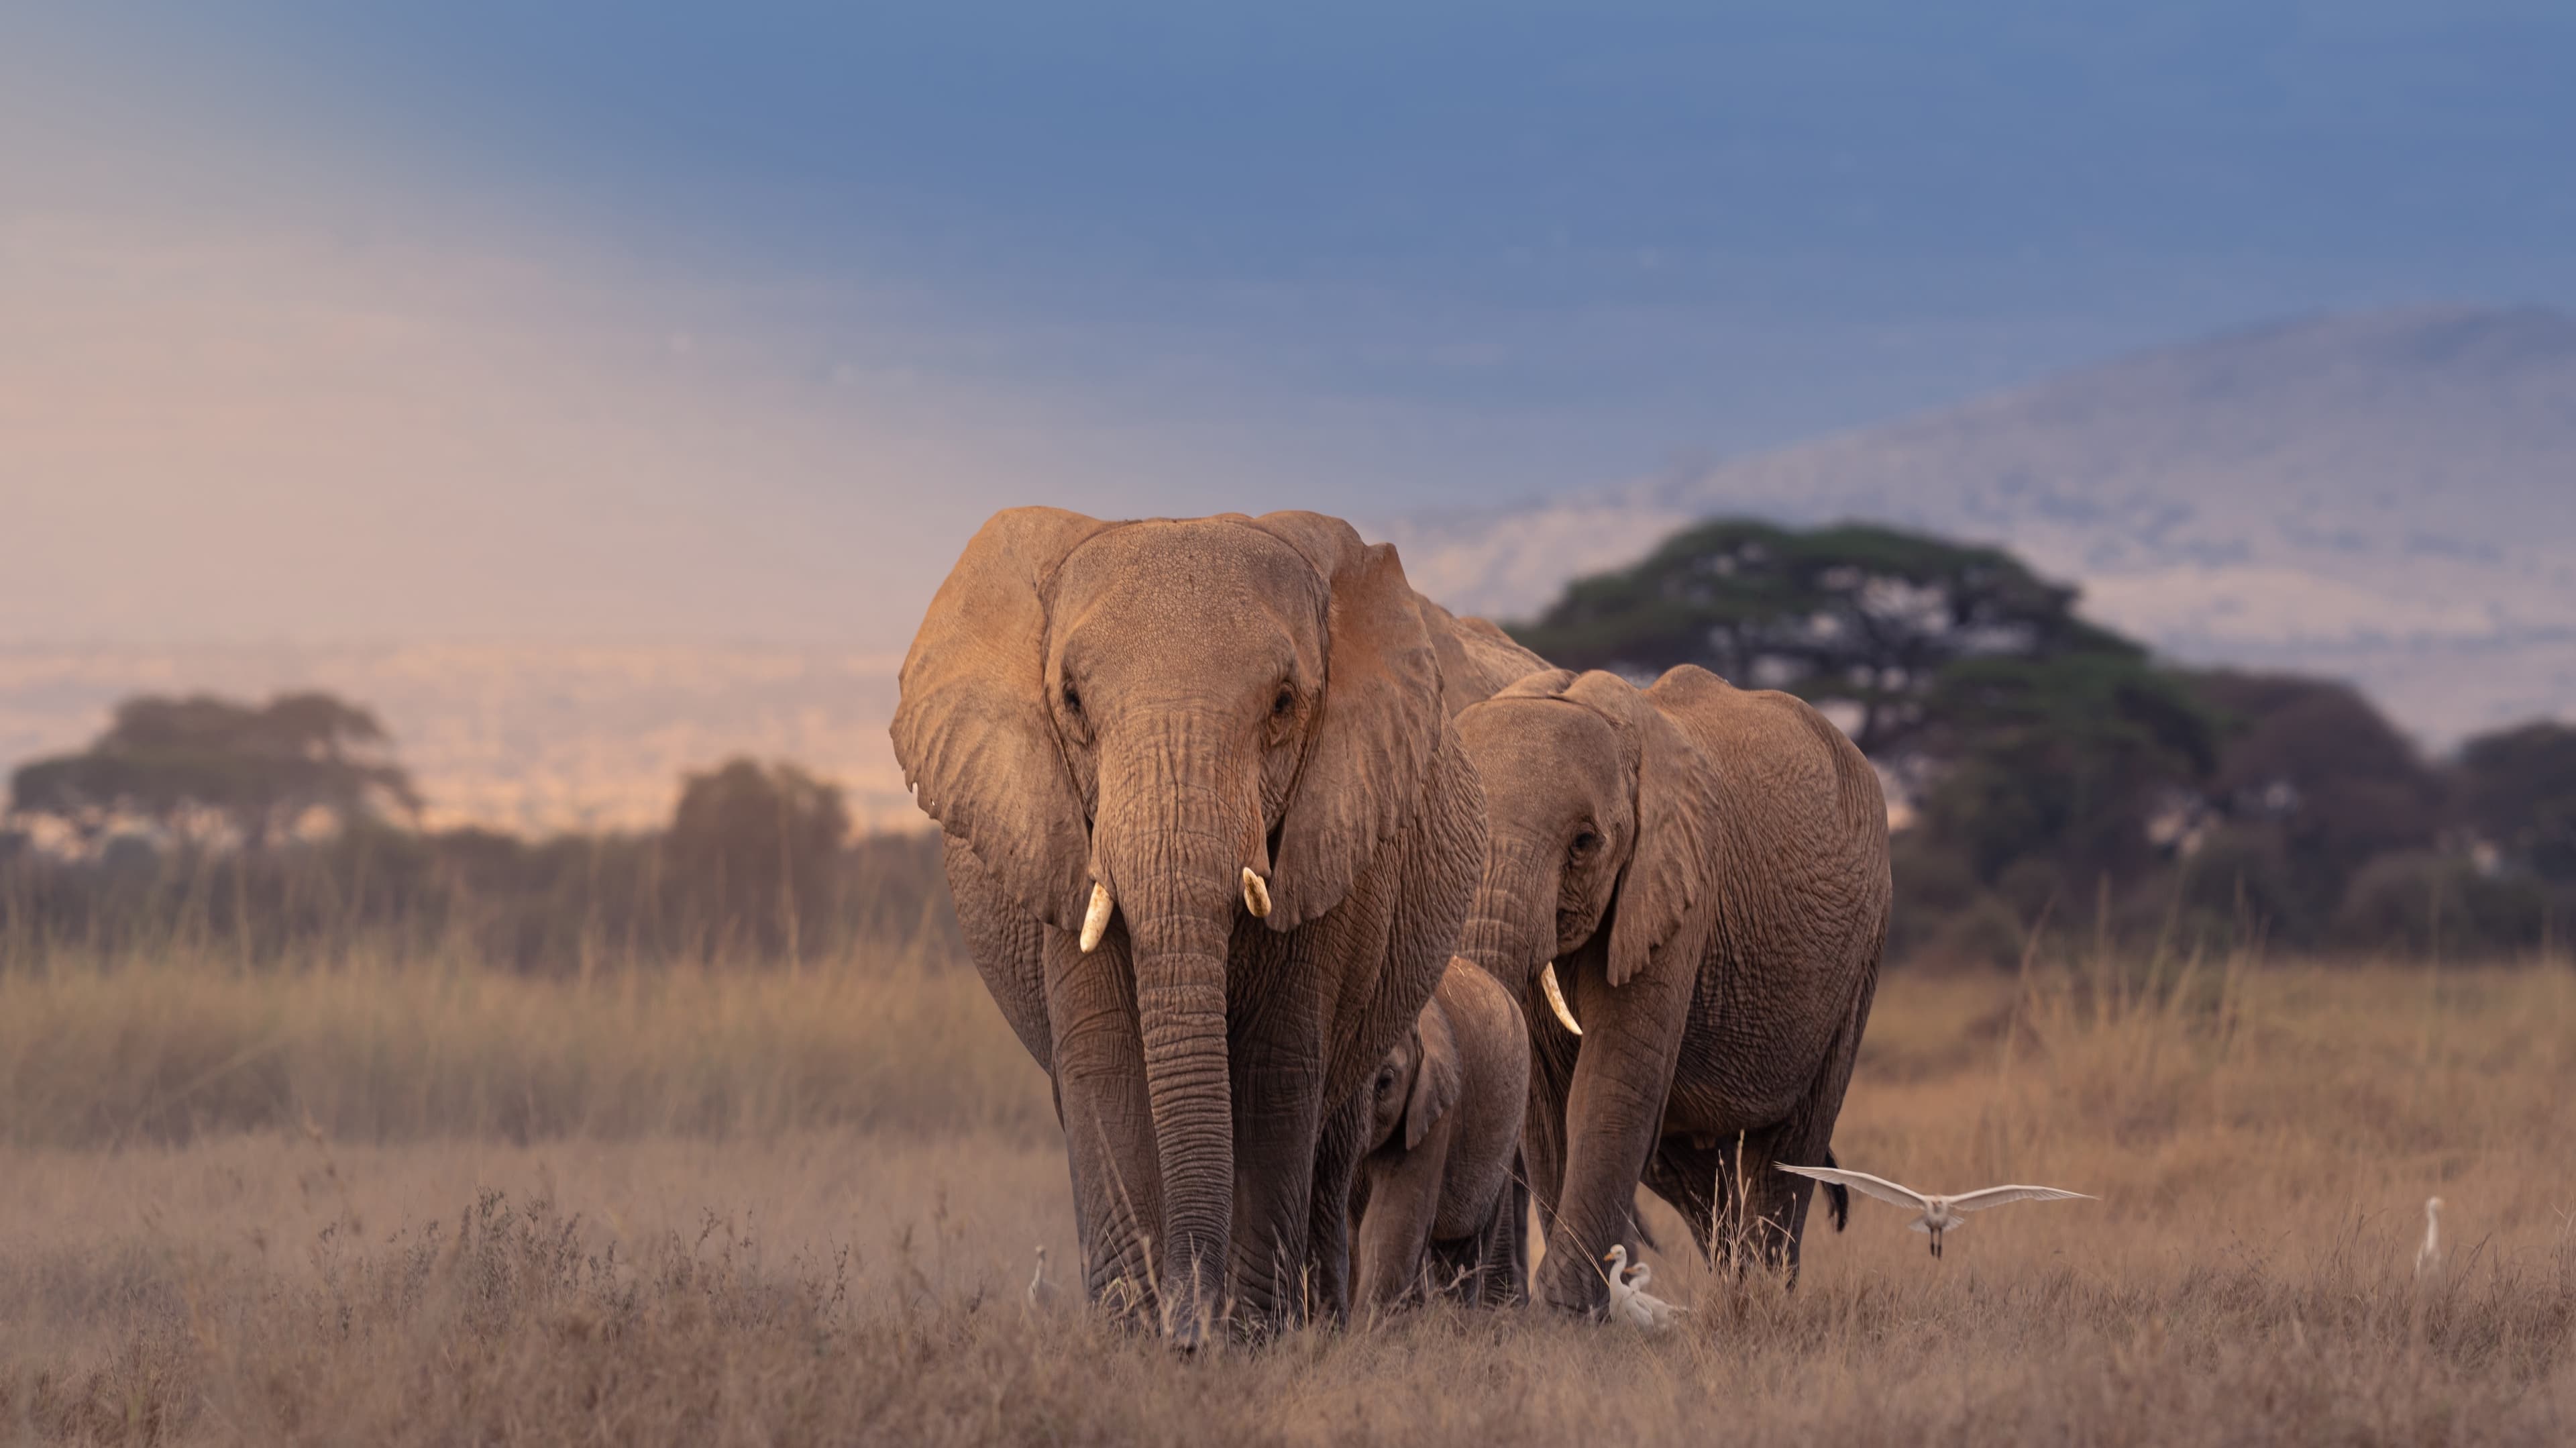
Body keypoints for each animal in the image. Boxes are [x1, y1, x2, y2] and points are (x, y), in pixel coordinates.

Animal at [1453, 664, 1889, 1315]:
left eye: (1584, 844)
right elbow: (1546, 1109)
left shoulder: (1677, 890)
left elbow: (1610, 1086)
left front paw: (1562, 1315)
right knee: (1688, 1173)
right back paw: (1733, 1291)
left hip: (1862, 952)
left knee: (1788, 1149)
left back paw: (1764, 1300)